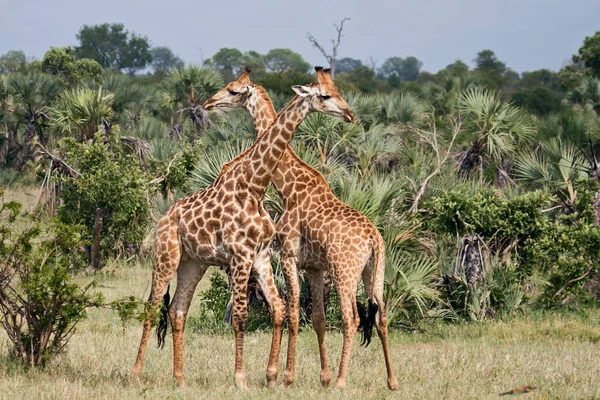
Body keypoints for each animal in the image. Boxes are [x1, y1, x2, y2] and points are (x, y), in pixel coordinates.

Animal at [131, 67, 356, 390]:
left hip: (193, 263)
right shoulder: (239, 256)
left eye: (335, 92)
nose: (350, 114)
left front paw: (271, 376)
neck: (255, 186)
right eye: (325, 95)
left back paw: (180, 378)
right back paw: (136, 373)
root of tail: (162, 219)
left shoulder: (260, 256)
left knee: (177, 310)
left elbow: (278, 309)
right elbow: (240, 316)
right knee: (152, 307)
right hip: (166, 257)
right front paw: (241, 379)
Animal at [205, 67, 398, 390]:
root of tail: (374, 238)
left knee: (352, 318)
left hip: (345, 271)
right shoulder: (314, 267)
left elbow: (293, 312)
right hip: (375, 270)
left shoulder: (289, 256)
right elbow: (317, 319)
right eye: (329, 94)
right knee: (381, 316)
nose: (209, 103)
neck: (289, 187)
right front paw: (322, 377)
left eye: (232, 90)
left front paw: (284, 377)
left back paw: (342, 381)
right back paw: (392, 381)